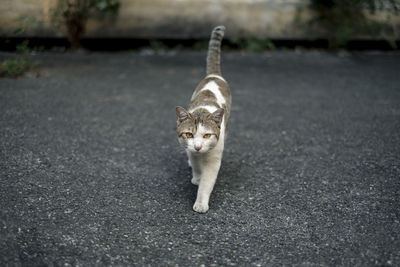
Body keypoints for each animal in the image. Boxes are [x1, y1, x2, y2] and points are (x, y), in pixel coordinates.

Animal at [176, 26, 231, 215]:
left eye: (207, 135)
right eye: (189, 134)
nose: (199, 146)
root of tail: (213, 75)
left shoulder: (214, 158)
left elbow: (207, 181)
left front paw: (201, 203)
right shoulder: (192, 151)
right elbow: (197, 166)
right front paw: (197, 177)